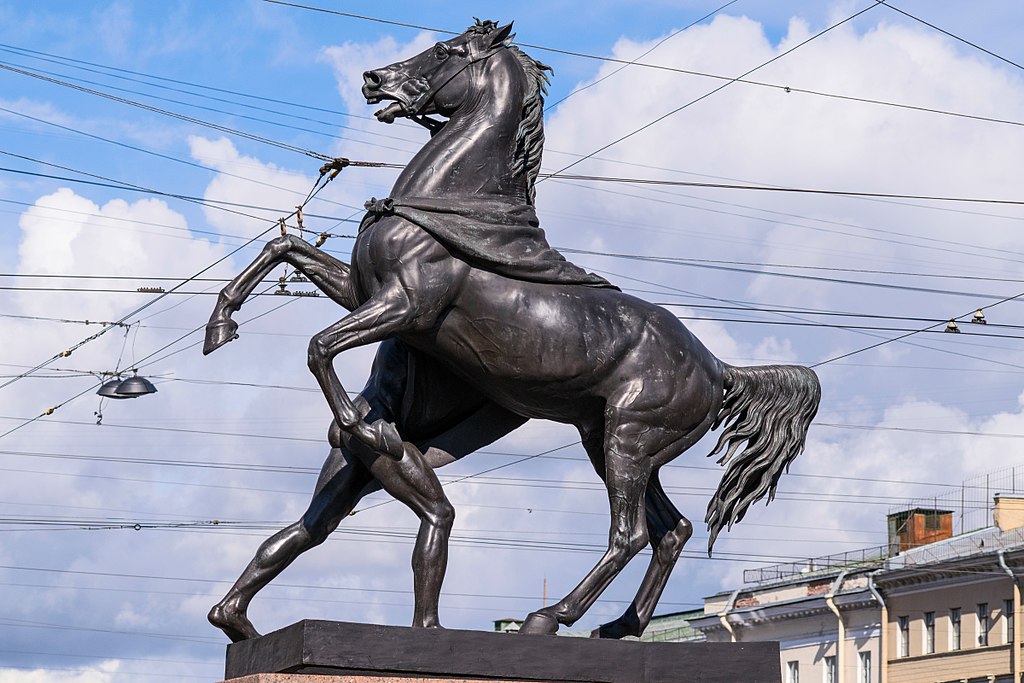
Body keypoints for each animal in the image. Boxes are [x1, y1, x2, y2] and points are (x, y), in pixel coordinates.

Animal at [203, 20, 819, 643]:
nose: (373, 79)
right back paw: (619, 625)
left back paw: (548, 618)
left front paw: (360, 423)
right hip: (611, 442)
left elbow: (319, 343)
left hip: (629, 440)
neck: (450, 206)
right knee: (672, 530)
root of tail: (719, 367)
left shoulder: (405, 305)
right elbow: (282, 246)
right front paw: (220, 324)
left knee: (630, 534)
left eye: (445, 51)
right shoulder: (362, 292)